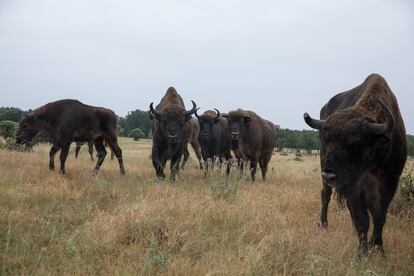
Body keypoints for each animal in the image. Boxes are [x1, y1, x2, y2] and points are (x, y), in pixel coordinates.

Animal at [304, 74, 408, 256]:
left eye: (356, 142)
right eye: (326, 139)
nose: (330, 174)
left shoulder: (390, 183)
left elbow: (379, 217)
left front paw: (378, 248)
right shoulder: (353, 187)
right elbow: (362, 219)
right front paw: (362, 253)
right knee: (325, 194)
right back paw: (323, 224)